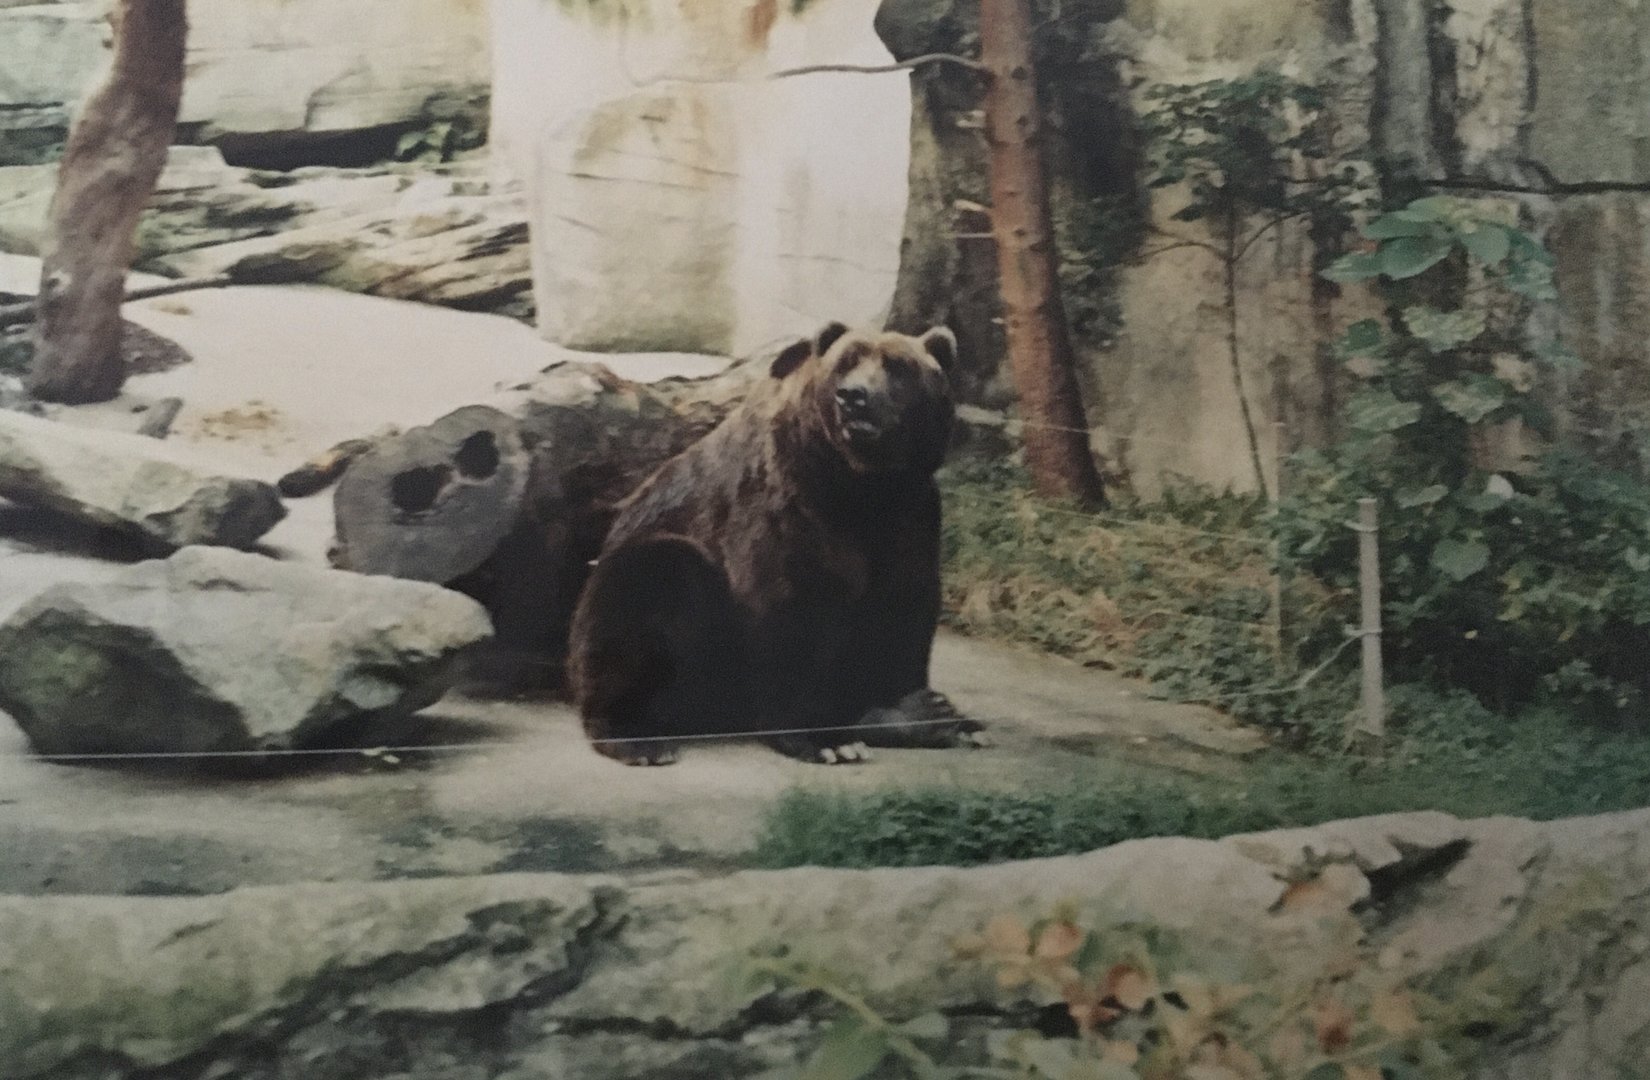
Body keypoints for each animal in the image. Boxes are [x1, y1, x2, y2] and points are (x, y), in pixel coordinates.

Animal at [567, 320, 987, 765]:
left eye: (898, 367)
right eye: (845, 362)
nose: (853, 397)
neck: (859, 485)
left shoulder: (910, 514)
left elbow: (902, 605)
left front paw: (926, 713)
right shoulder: (788, 502)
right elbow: (790, 603)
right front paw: (824, 740)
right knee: (654, 576)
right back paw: (636, 736)